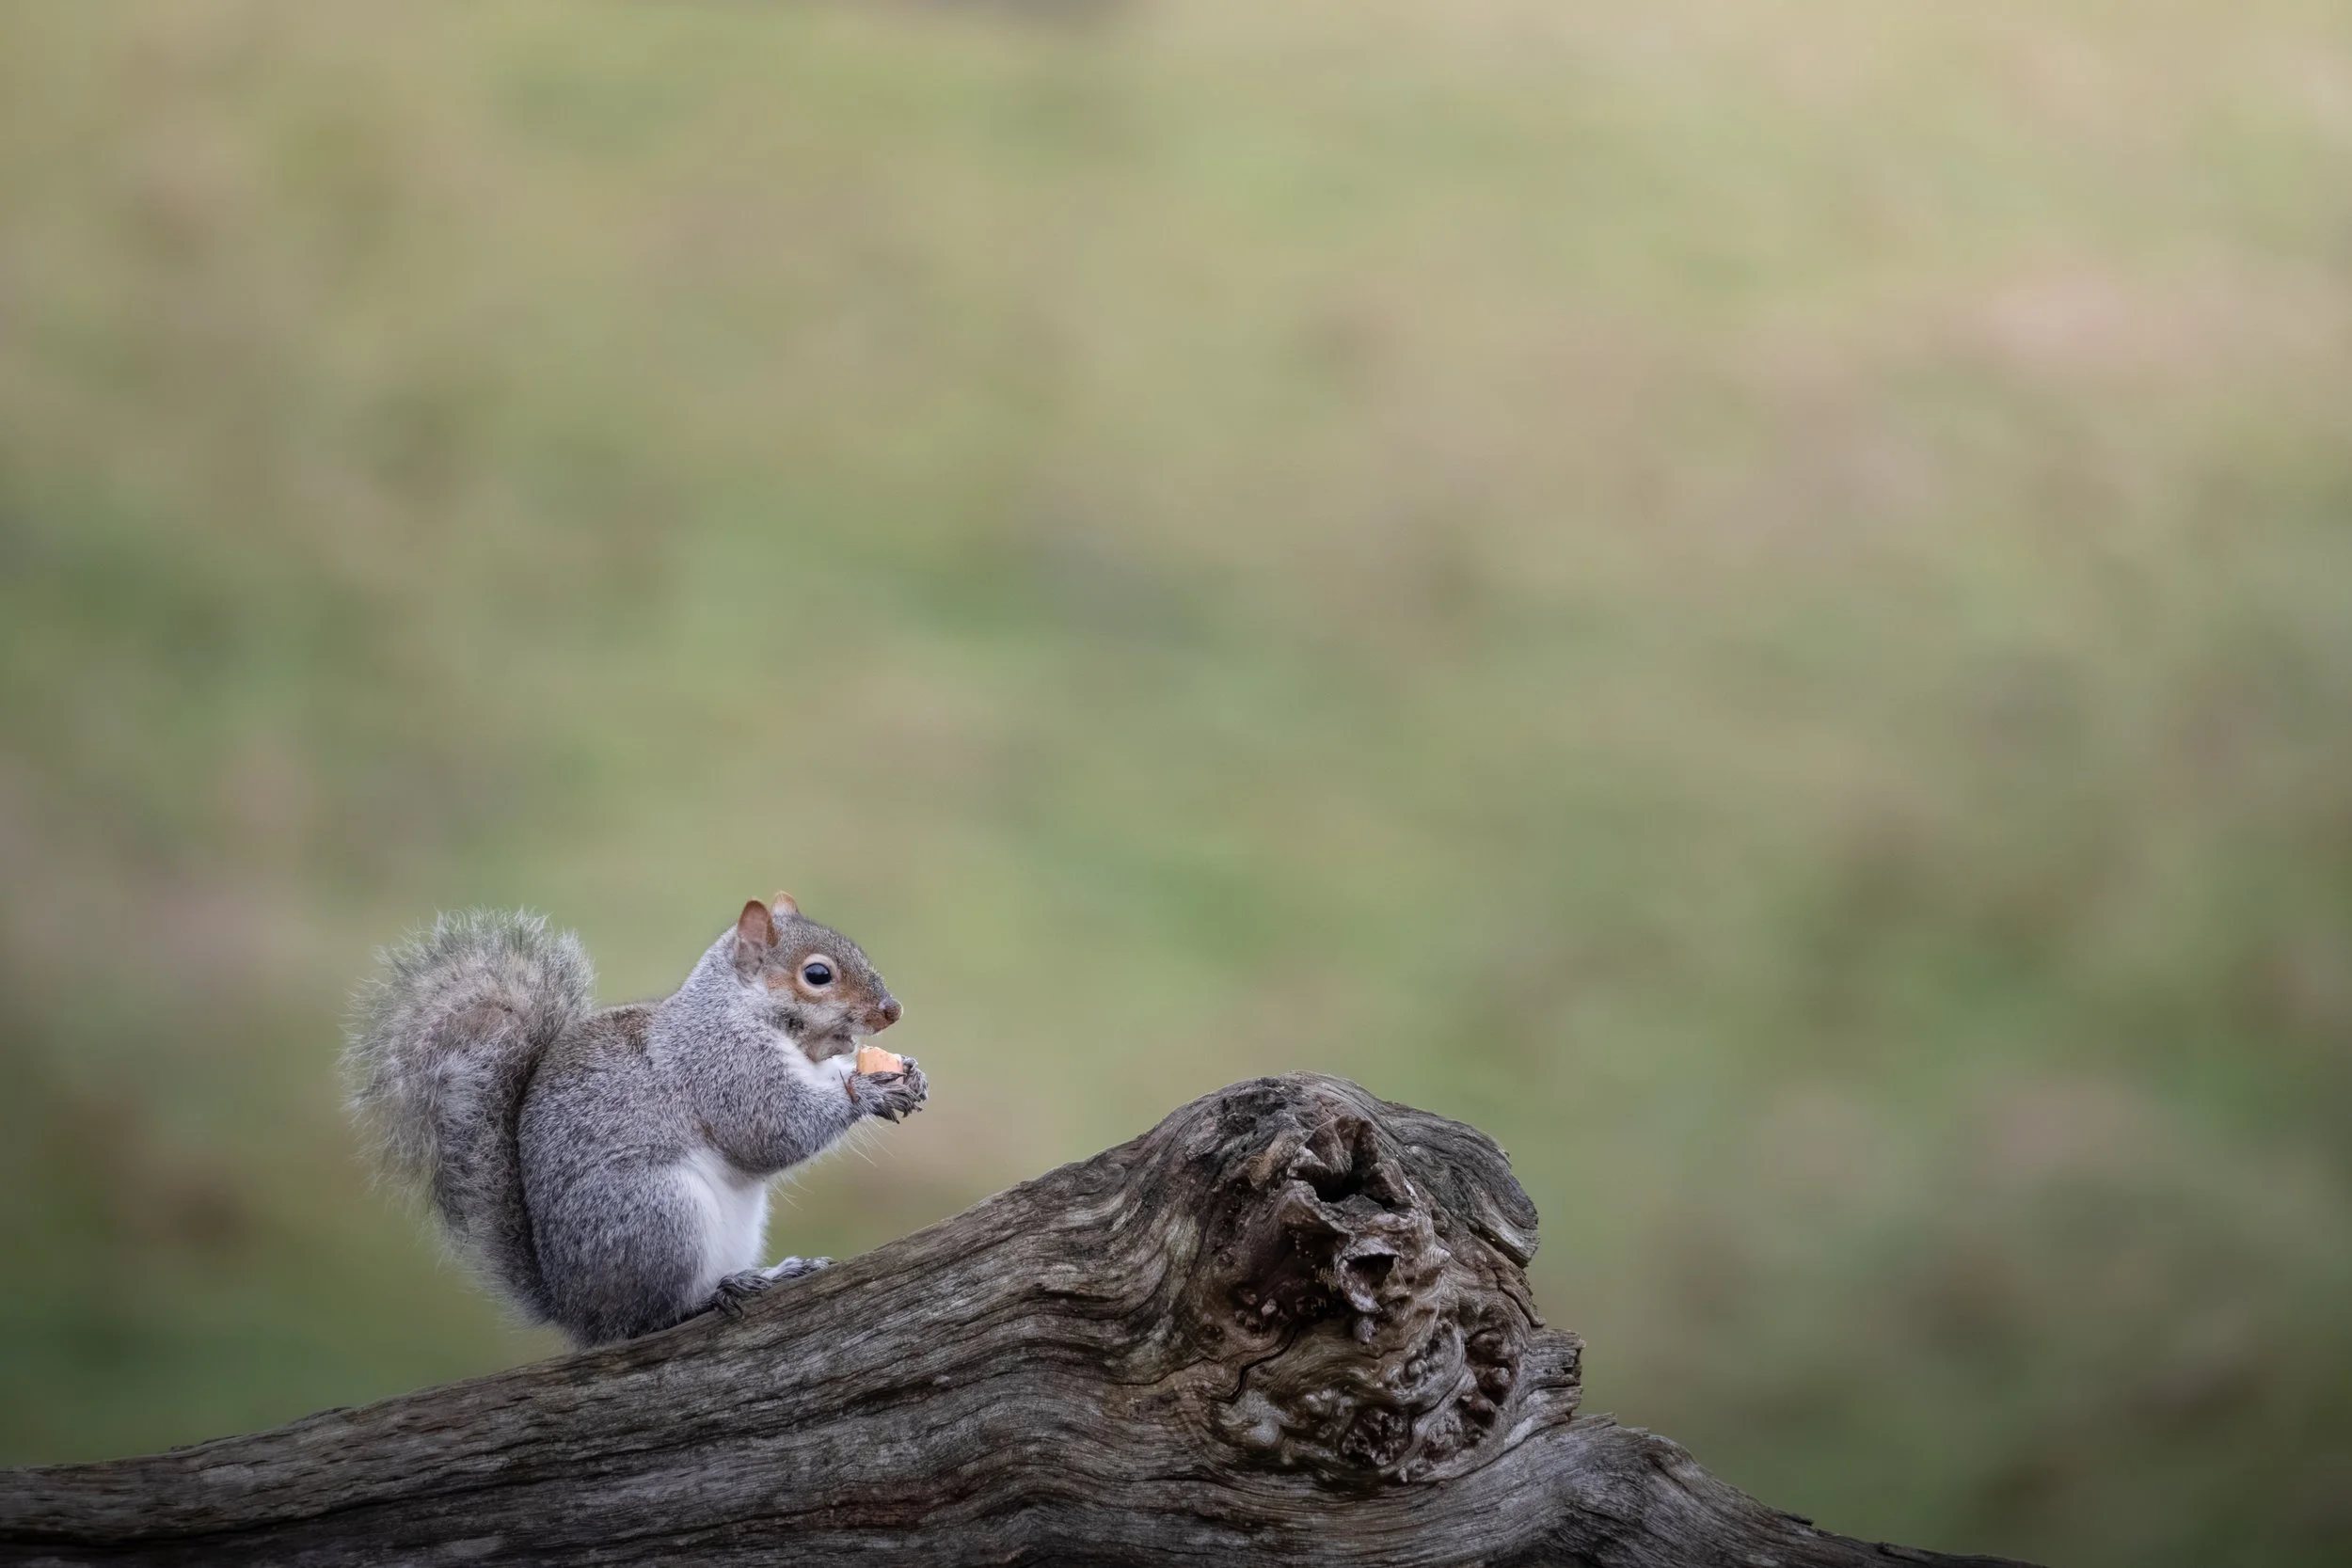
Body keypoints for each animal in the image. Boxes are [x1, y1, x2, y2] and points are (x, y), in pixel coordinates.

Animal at [344, 893, 926, 1347]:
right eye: (817, 975)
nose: (893, 1010)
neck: (743, 1013)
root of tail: (574, 1310)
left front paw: (905, 1073)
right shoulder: (722, 1066)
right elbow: (771, 1131)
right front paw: (867, 1091)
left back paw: (774, 1273)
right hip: (660, 1215)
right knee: (648, 1320)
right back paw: (720, 1294)